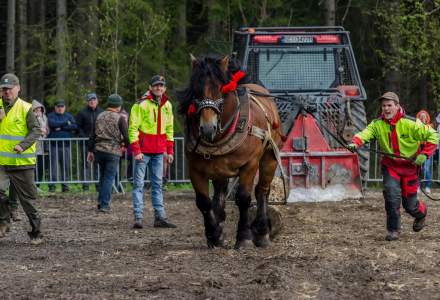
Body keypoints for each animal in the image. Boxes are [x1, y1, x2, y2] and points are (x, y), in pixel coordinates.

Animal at [177, 54, 284, 248]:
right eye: (196, 90)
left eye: (221, 89)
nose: (207, 128)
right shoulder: (195, 169)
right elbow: (204, 202)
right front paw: (214, 235)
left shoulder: (249, 164)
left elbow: (243, 198)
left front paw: (244, 237)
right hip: (219, 169)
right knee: (220, 193)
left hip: (269, 158)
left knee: (262, 191)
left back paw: (262, 232)